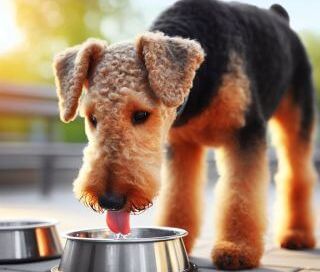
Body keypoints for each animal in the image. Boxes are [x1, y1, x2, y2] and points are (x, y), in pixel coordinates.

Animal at [53, 0, 318, 268]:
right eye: (92, 118)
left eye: (141, 114)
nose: (110, 201)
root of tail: (279, 15)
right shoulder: (181, 145)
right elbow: (179, 194)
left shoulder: (245, 133)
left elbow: (241, 194)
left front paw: (237, 248)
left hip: (296, 119)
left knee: (297, 175)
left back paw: (297, 234)